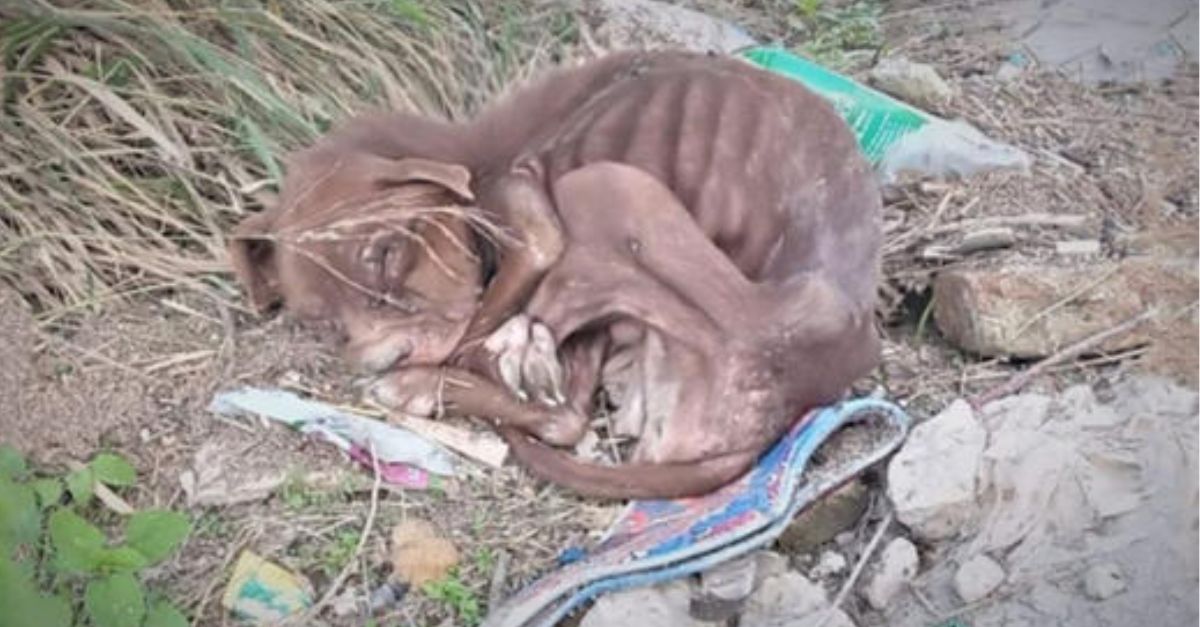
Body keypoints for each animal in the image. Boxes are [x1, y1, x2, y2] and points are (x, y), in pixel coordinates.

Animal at [226, 50, 883, 497]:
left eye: (386, 257)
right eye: (325, 323)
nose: (374, 362)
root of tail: (788, 408)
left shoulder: (532, 225)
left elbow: (476, 324)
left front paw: (423, 373)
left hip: (607, 191)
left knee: (546, 393)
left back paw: (429, 383)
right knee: (564, 412)